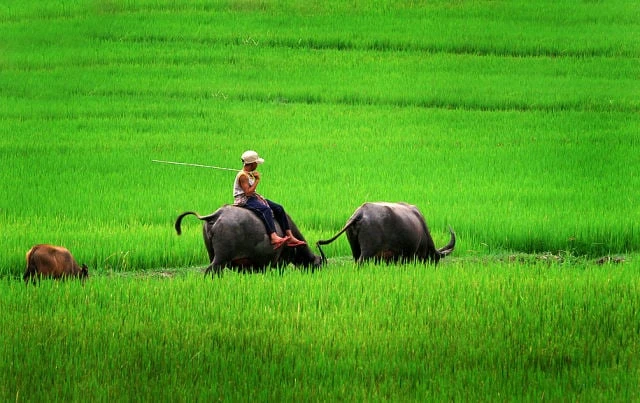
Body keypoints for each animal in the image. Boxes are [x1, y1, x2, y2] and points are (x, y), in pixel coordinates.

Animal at [175, 207, 322, 276]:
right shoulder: (282, 261)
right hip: (221, 257)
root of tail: (217, 214)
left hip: (212, 254)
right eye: (319, 266)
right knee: (211, 270)